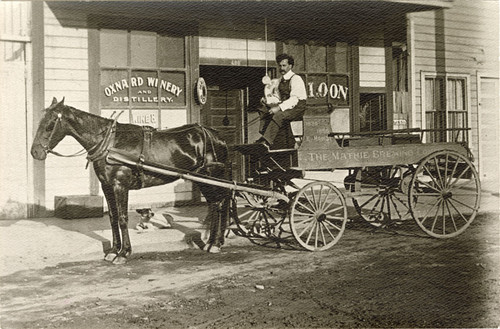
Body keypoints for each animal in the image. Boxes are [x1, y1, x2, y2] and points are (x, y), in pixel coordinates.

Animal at [32, 97, 231, 264]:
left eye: (51, 124)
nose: (35, 152)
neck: (110, 144)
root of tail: (217, 136)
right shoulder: (107, 186)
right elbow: (112, 218)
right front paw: (113, 250)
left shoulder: (120, 185)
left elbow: (122, 218)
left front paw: (123, 253)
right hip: (202, 179)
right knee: (215, 204)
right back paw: (212, 242)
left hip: (211, 176)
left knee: (221, 203)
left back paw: (216, 244)